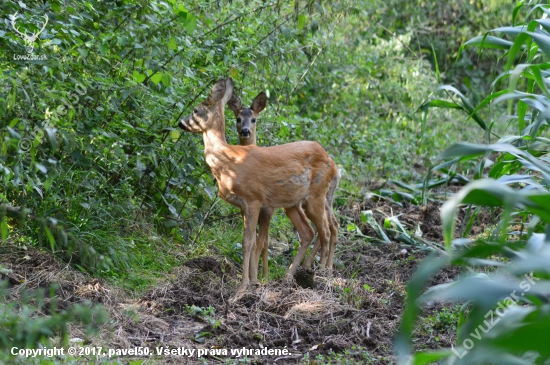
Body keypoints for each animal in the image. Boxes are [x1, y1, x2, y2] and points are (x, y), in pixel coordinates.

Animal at [227, 91, 340, 276]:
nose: (245, 131)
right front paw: (263, 275)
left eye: (254, 119)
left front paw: (259, 276)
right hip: (300, 204)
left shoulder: (267, 208)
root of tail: (334, 165)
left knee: (326, 230)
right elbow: (261, 241)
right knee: (320, 229)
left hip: (316, 197)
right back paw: (302, 270)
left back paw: (322, 270)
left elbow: (260, 242)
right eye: (237, 118)